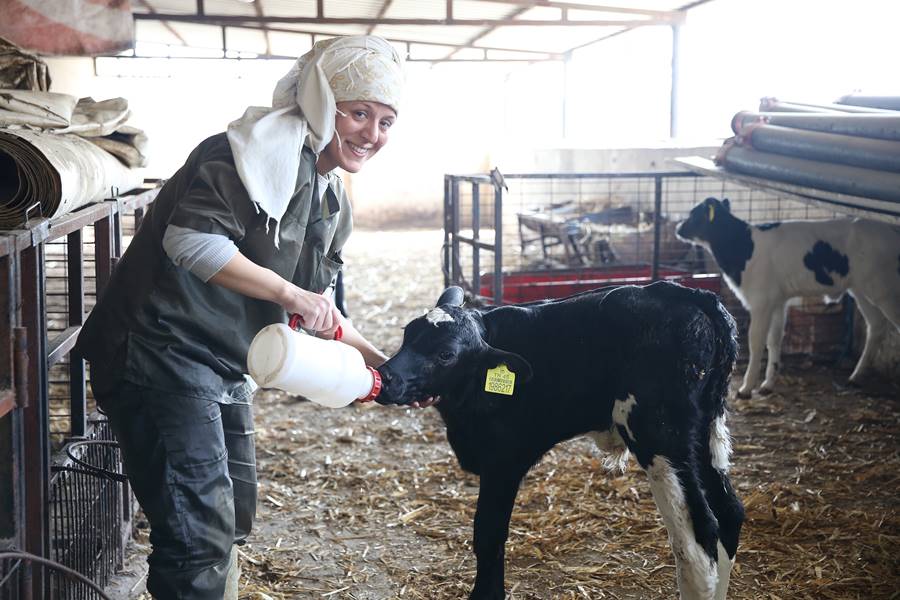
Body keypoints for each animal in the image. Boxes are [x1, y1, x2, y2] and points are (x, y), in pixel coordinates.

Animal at [376, 282, 740, 600]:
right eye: (407, 335)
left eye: (445, 354)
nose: (386, 378)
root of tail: (687, 294)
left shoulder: (503, 460)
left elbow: (488, 534)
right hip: (703, 432)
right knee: (729, 514)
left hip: (661, 437)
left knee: (697, 540)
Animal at [680, 198, 896, 398]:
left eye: (694, 214)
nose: (678, 228)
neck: (744, 247)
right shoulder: (778, 301)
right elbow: (774, 340)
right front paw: (768, 384)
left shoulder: (761, 301)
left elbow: (756, 342)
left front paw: (746, 387)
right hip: (861, 290)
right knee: (876, 326)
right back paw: (856, 376)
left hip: (883, 289)